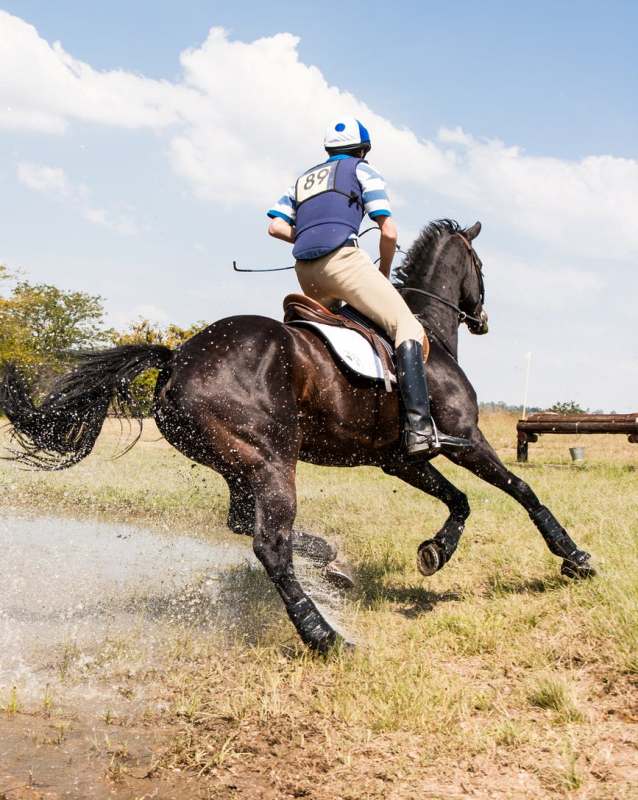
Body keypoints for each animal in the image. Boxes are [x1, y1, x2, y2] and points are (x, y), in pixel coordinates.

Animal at [0, 216, 596, 652]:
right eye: (479, 266)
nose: (483, 318)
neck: (425, 330)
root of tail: (178, 359)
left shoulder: (400, 458)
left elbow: (460, 500)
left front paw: (435, 551)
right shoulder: (465, 438)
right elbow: (521, 490)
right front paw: (573, 557)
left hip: (239, 462)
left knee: (246, 523)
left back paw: (330, 565)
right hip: (271, 461)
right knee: (270, 545)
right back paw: (325, 635)